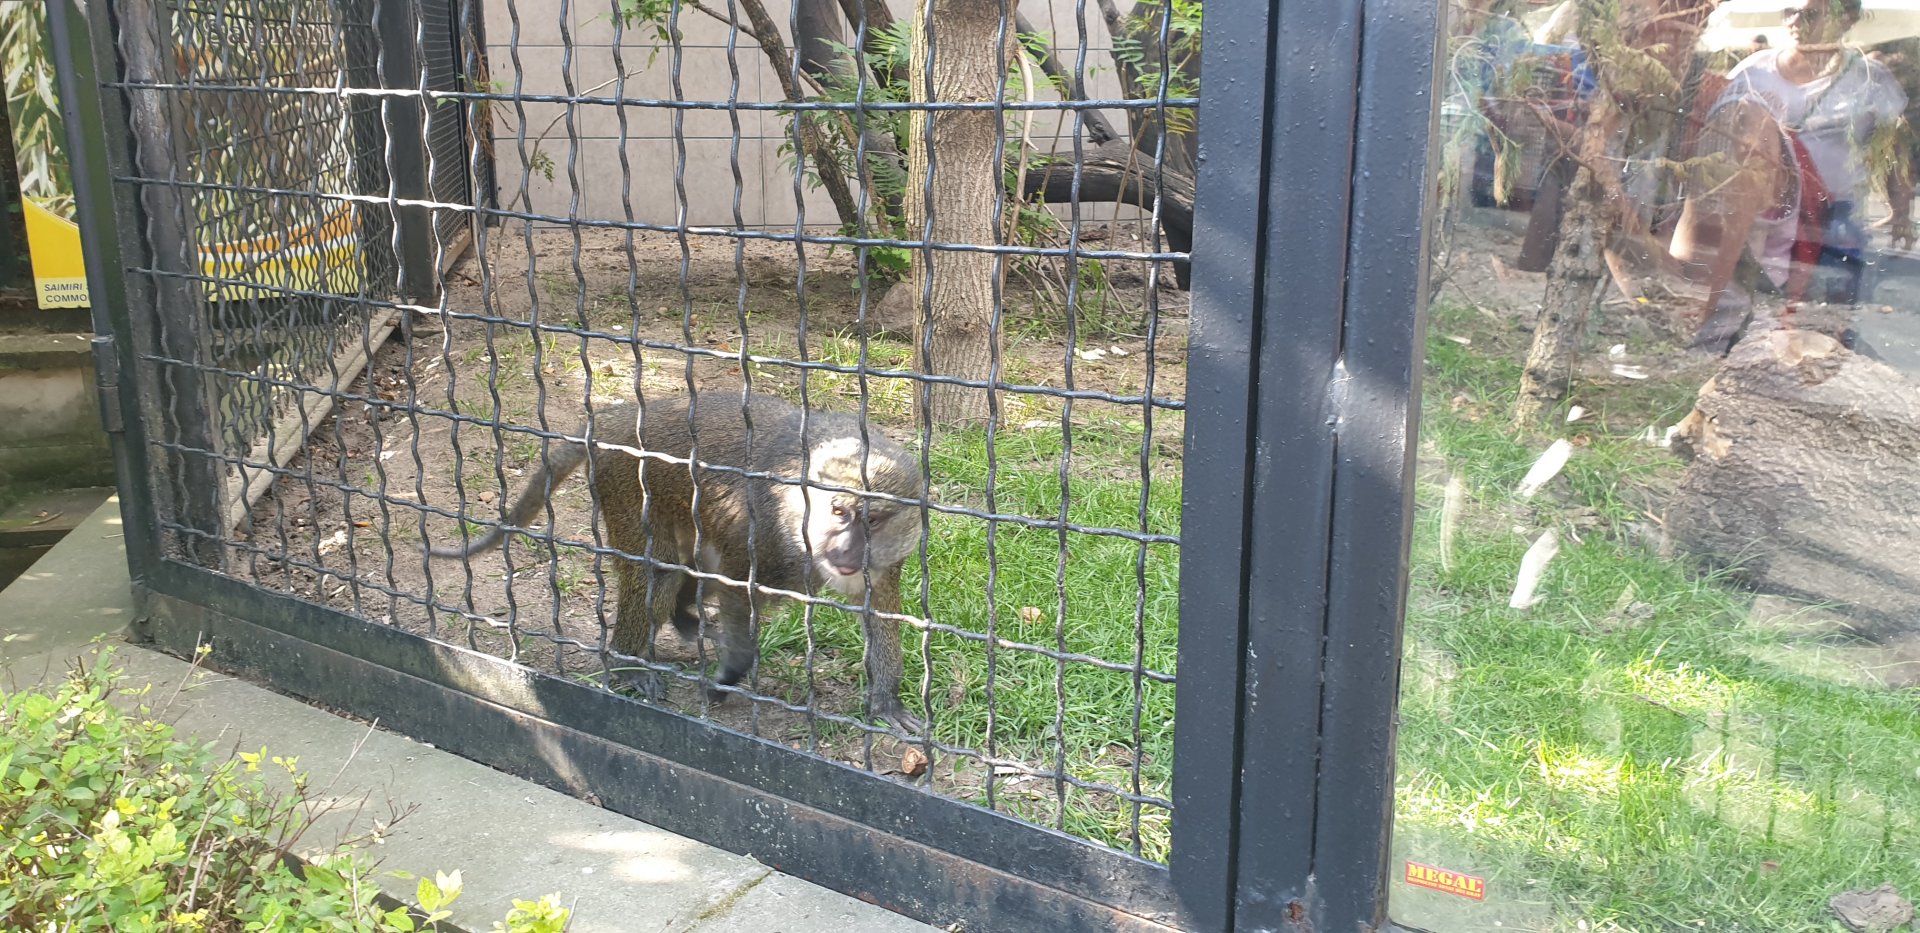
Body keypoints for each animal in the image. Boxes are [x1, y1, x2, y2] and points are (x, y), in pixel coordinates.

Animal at [428, 392, 929, 734]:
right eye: (839, 512)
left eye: (873, 520)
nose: (844, 551)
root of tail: (616, 418)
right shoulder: (766, 538)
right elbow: (736, 588)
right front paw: (730, 674)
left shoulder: (889, 558)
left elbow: (881, 612)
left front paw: (885, 701)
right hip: (626, 481)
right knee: (661, 569)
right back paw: (630, 668)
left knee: (694, 561)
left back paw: (684, 616)